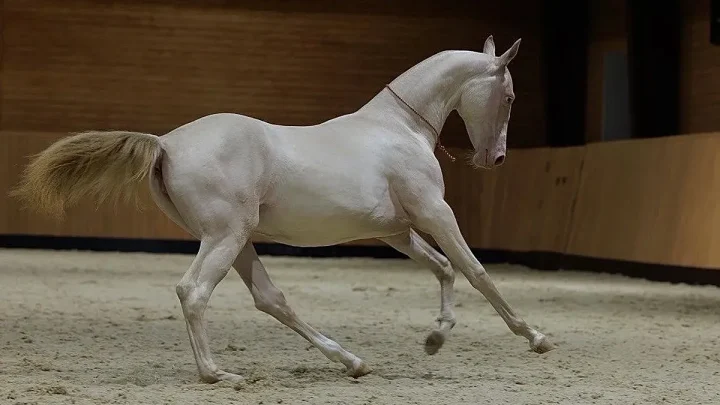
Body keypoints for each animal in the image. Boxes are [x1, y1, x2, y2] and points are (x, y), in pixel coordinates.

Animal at [12, 35, 554, 384]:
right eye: (509, 95)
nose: (495, 158)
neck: (399, 129)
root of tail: (166, 143)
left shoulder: (398, 231)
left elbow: (443, 268)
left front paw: (436, 338)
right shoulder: (434, 212)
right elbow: (475, 270)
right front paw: (535, 337)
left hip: (239, 242)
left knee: (270, 300)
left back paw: (350, 362)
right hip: (226, 237)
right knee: (194, 292)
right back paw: (217, 374)